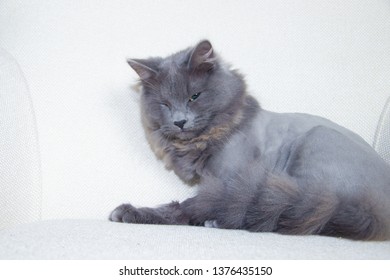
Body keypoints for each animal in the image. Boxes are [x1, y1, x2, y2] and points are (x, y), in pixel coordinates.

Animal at [109, 40, 390, 241]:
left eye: (194, 96)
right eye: (164, 104)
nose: (179, 121)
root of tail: (375, 210)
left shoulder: (227, 181)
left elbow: (185, 207)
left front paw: (129, 212)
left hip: (315, 149)